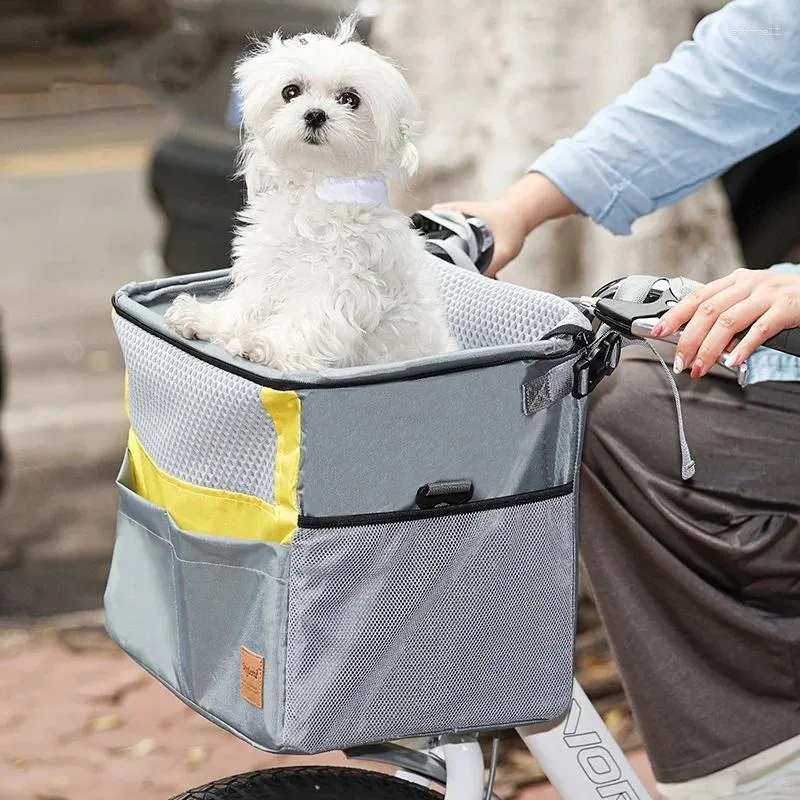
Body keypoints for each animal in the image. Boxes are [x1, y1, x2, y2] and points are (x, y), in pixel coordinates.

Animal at [164, 18, 456, 368]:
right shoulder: (268, 265)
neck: (314, 189)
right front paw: (208, 320)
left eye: (350, 99)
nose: (315, 114)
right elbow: (246, 303)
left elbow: (307, 320)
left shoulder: (338, 282)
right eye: (290, 91)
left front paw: (265, 345)